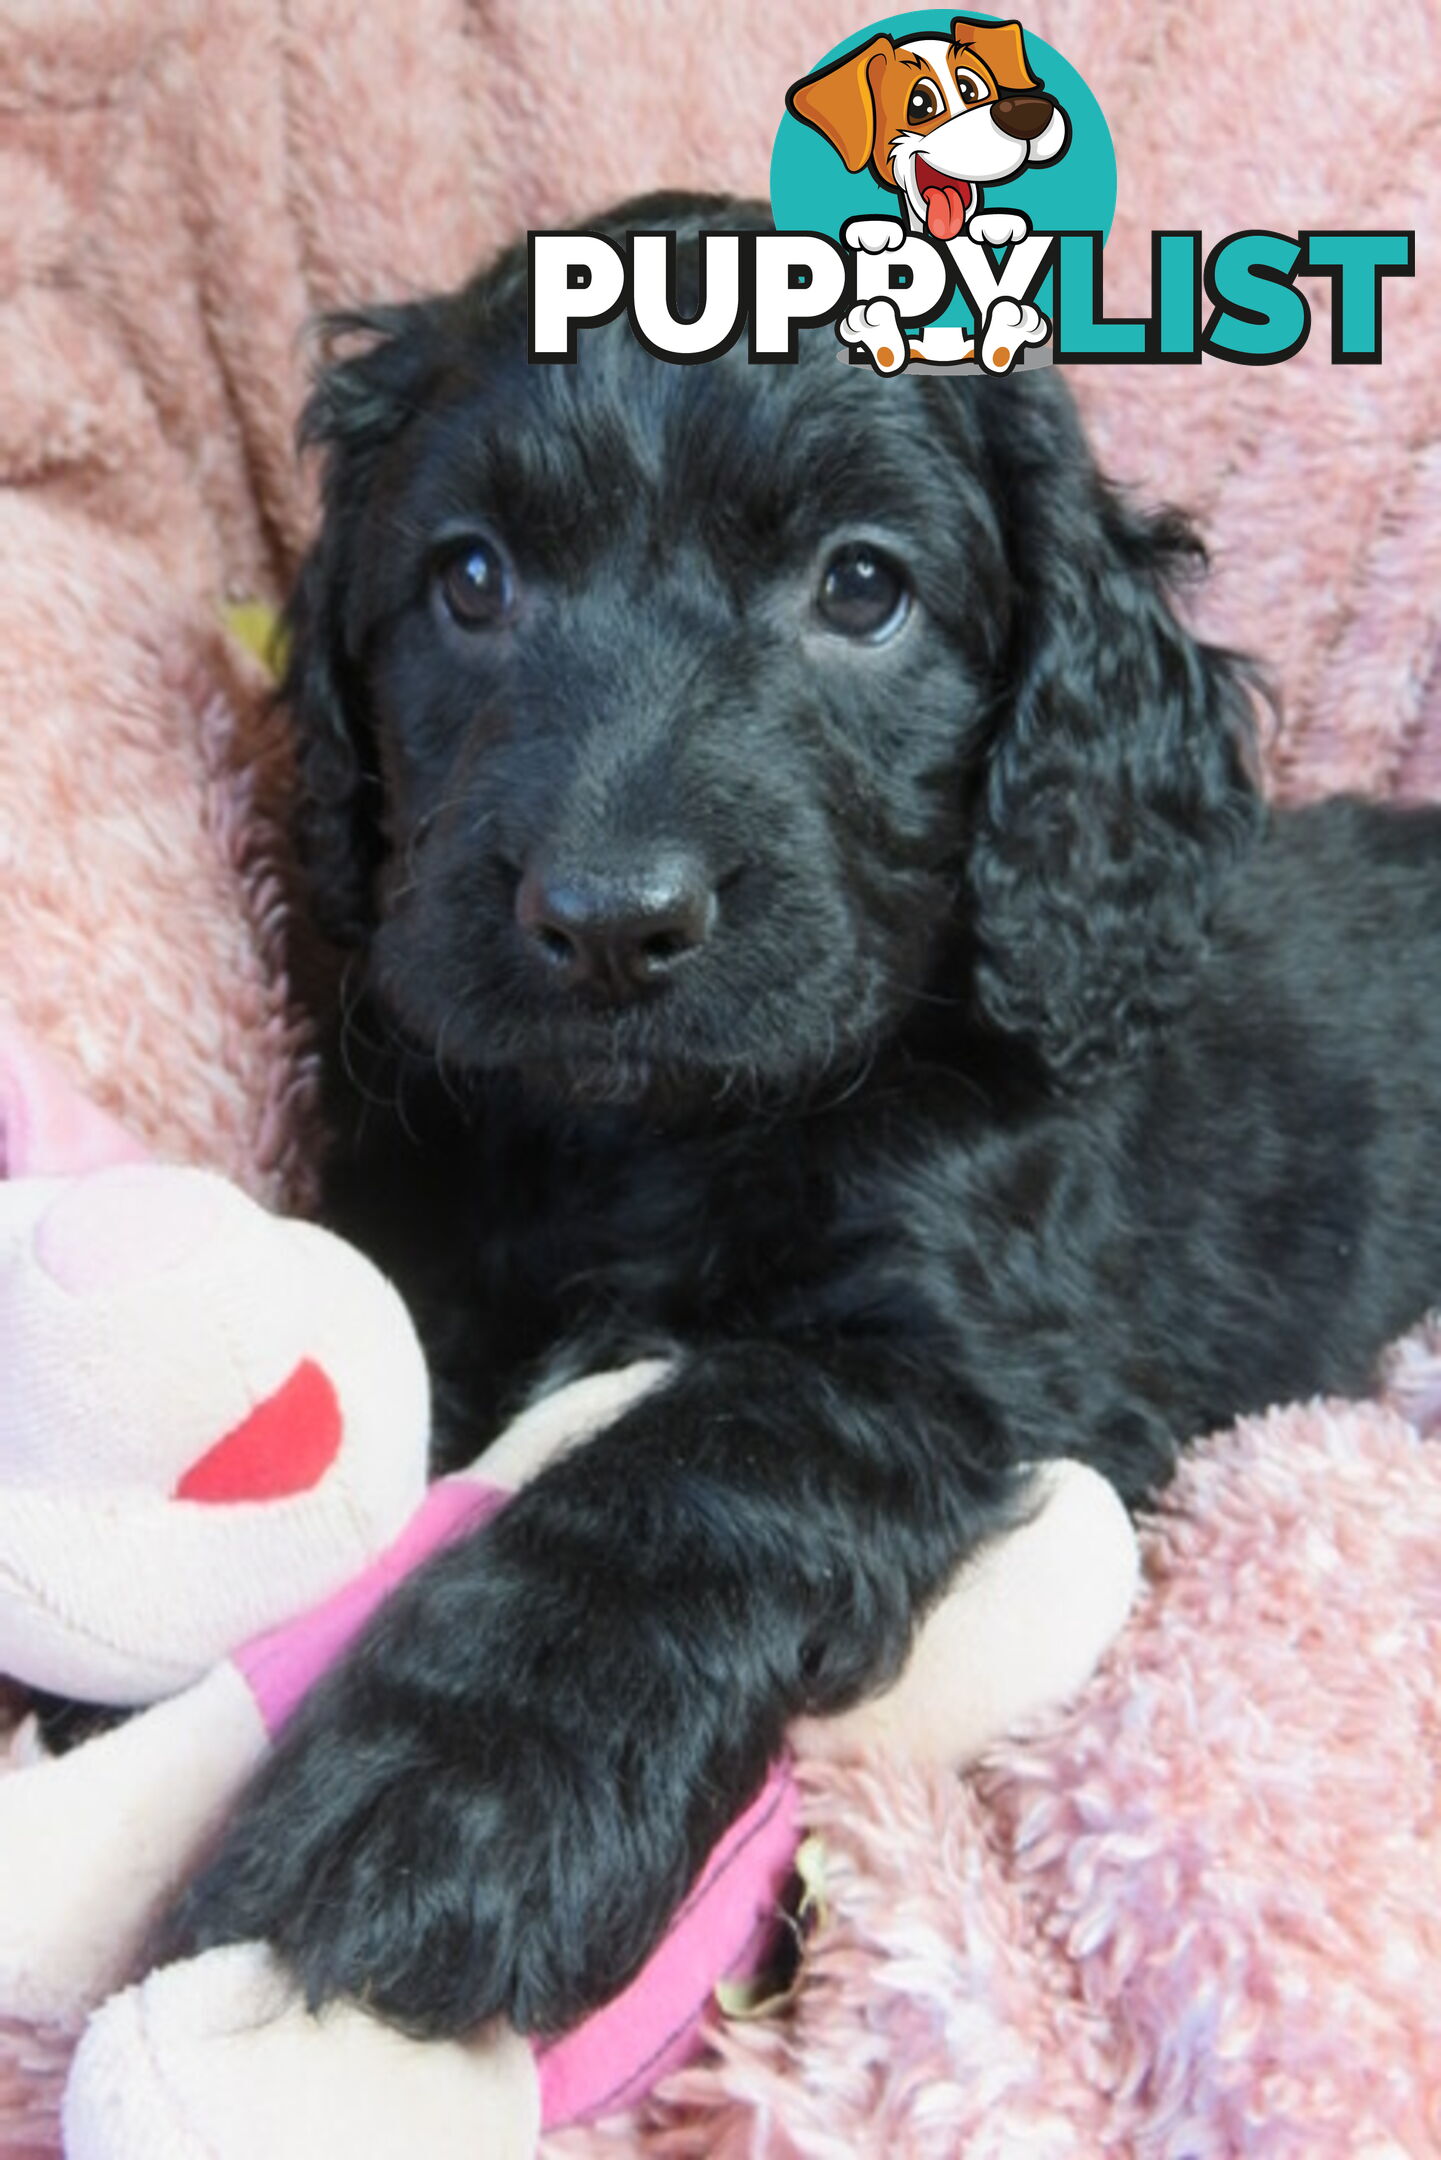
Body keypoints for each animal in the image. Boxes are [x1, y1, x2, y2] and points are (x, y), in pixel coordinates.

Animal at [163, 198, 1441, 2039]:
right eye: (469, 578)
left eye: (862, 587)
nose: (607, 920)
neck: (652, 1140)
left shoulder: (956, 1355)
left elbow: (699, 1472)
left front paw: (448, 1800)